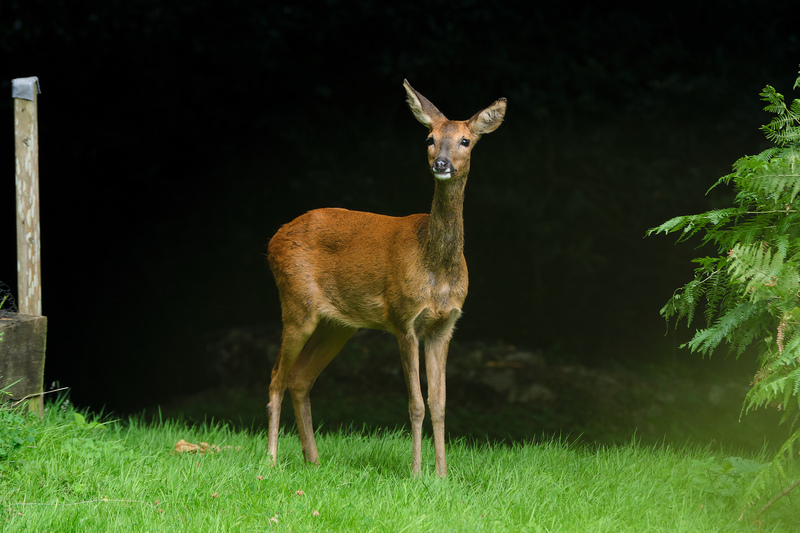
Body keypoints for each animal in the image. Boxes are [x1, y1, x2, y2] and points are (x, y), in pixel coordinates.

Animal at [265, 80, 507, 476]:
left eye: (465, 141)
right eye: (429, 138)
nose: (441, 164)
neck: (435, 268)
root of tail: (272, 240)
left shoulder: (444, 326)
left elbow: (440, 403)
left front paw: (442, 475)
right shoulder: (403, 317)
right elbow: (416, 403)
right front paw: (417, 473)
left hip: (338, 325)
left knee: (299, 378)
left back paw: (313, 460)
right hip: (296, 303)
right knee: (277, 377)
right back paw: (270, 459)